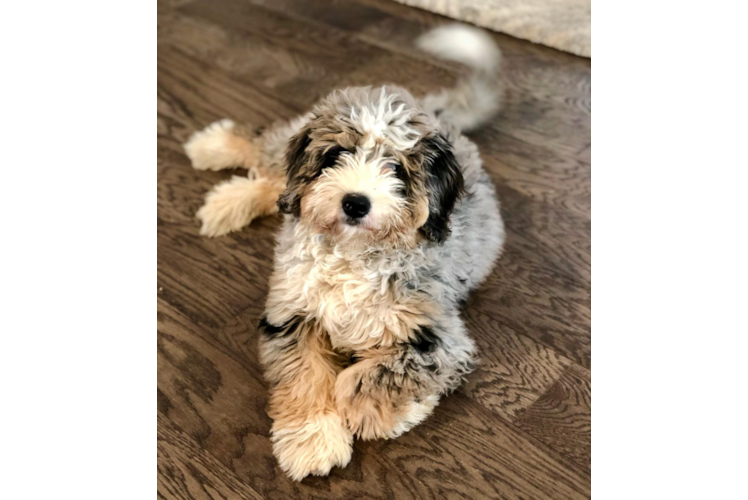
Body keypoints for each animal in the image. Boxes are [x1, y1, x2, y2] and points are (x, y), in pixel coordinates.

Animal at [184, 23, 506, 480]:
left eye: (396, 169)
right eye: (337, 155)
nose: (355, 203)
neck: (353, 255)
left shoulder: (437, 338)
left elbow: (368, 377)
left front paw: (381, 415)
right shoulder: (292, 312)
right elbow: (305, 377)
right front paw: (312, 442)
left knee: (277, 186)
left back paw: (224, 199)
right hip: (289, 154)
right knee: (273, 162)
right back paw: (214, 149)